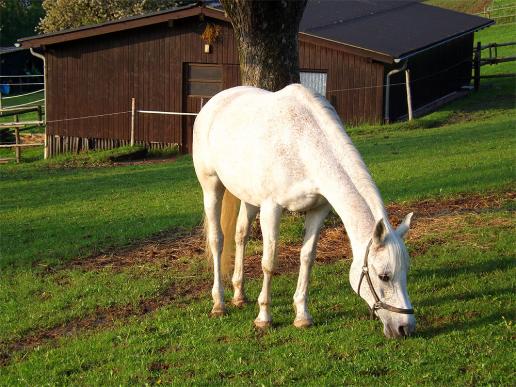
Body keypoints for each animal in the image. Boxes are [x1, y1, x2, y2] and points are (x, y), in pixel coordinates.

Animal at [192, 83, 416, 338]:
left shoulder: (318, 210)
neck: (303, 146)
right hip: (211, 187)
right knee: (217, 240)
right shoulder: (272, 208)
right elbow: (269, 262)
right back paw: (218, 303)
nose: (405, 328)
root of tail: (215, 101)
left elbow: (307, 258)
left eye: (406, 272)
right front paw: (264, 317)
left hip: (248, 197)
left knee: (241, 236)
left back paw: (239, 295)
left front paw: (302, 316)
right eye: (384, 276)